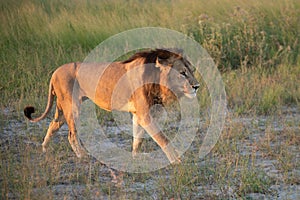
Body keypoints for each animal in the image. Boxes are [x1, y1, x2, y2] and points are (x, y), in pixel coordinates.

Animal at [24, 48, 199, 164]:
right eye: (182, 73)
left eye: (192, 70)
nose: (197, 86)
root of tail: (55, 72)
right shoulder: (145, 115)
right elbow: (163, 139)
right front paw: (176, 160)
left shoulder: (138, 114)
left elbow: (138, 138)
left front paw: (135, 157)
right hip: (72, 107)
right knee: (71, 134)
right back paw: (83, 156)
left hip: (62, 108)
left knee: (52, 126)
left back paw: (44, 149)